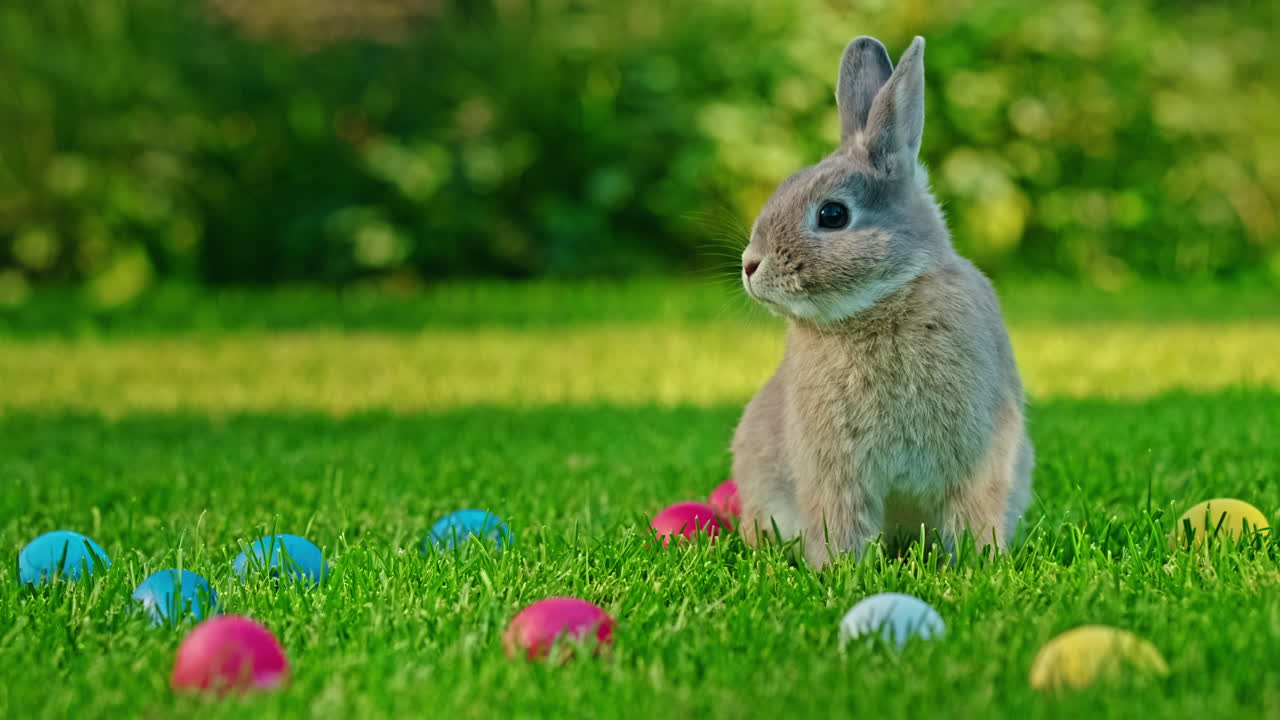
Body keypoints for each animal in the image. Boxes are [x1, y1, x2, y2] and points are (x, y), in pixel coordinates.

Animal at [731, 35, 1033, 568]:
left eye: (833, 215)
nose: (750, 266)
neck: (884, 301)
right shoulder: (835, 471)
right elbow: (841, 521)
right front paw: (840, 570)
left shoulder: (979, 459)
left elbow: (972, 513)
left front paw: (979, 564)